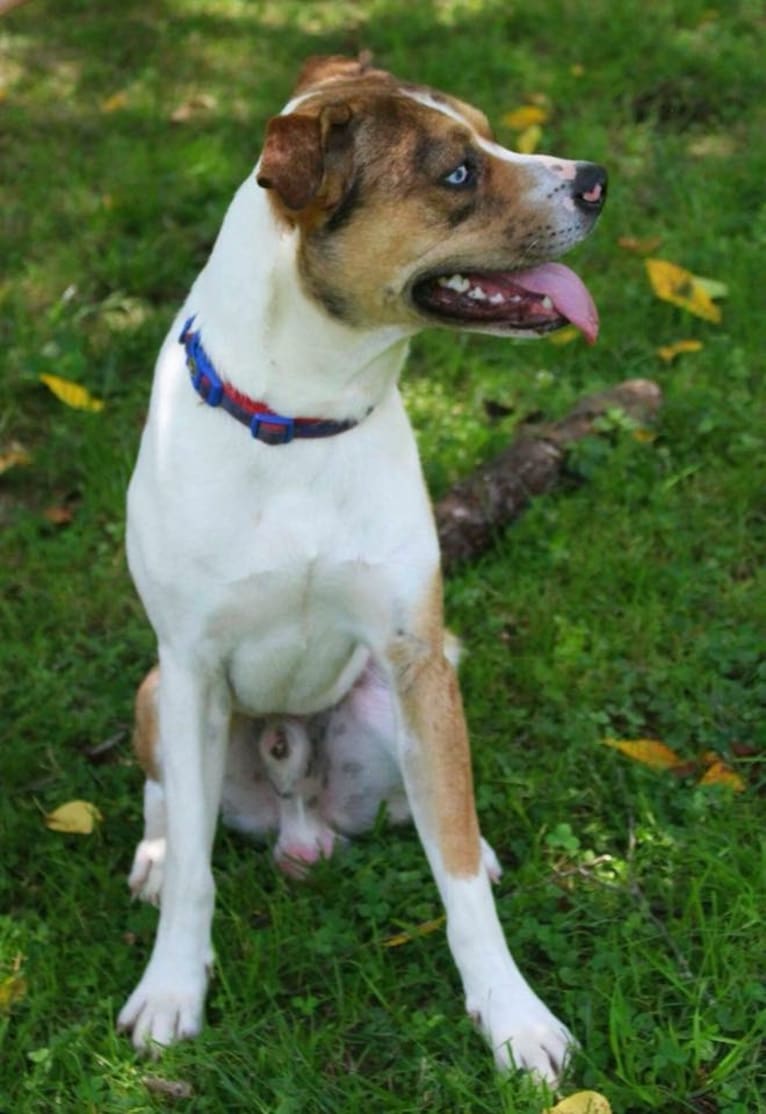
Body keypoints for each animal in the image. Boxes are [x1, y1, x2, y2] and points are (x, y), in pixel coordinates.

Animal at [118, 50, 605, 1078]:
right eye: (456, 173)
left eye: (487, 132)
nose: (596, 179)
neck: (305, 417)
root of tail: (301, 823)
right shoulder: (188, 666)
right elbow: (194, 876)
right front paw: (172, 992)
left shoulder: (415, 654)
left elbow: (454, 866)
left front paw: (513, 1017)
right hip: (154, 689)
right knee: (167, 800)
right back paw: (151, 853)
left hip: (418, 688)